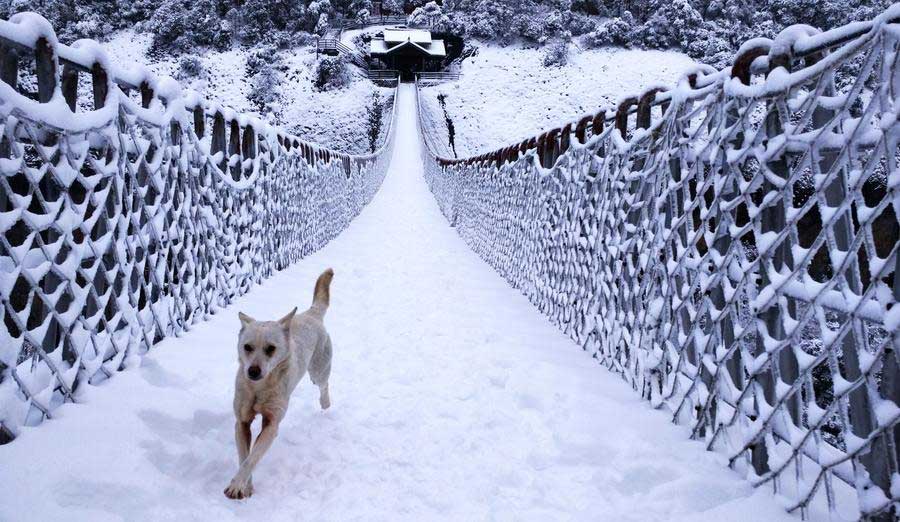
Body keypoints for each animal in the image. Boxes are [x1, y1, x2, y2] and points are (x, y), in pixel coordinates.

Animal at [224, 268, 334, 496]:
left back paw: (325, 404)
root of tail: (310, 314)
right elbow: (244, 456)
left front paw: (238, 485)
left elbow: (252, 459)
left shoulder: (272, 423)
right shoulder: (242, 422)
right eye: (247, 347)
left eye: (270, 348)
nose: (253, 371)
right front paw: (246, 486)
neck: (258, 389)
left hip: (318, 370)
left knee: (324, 385)